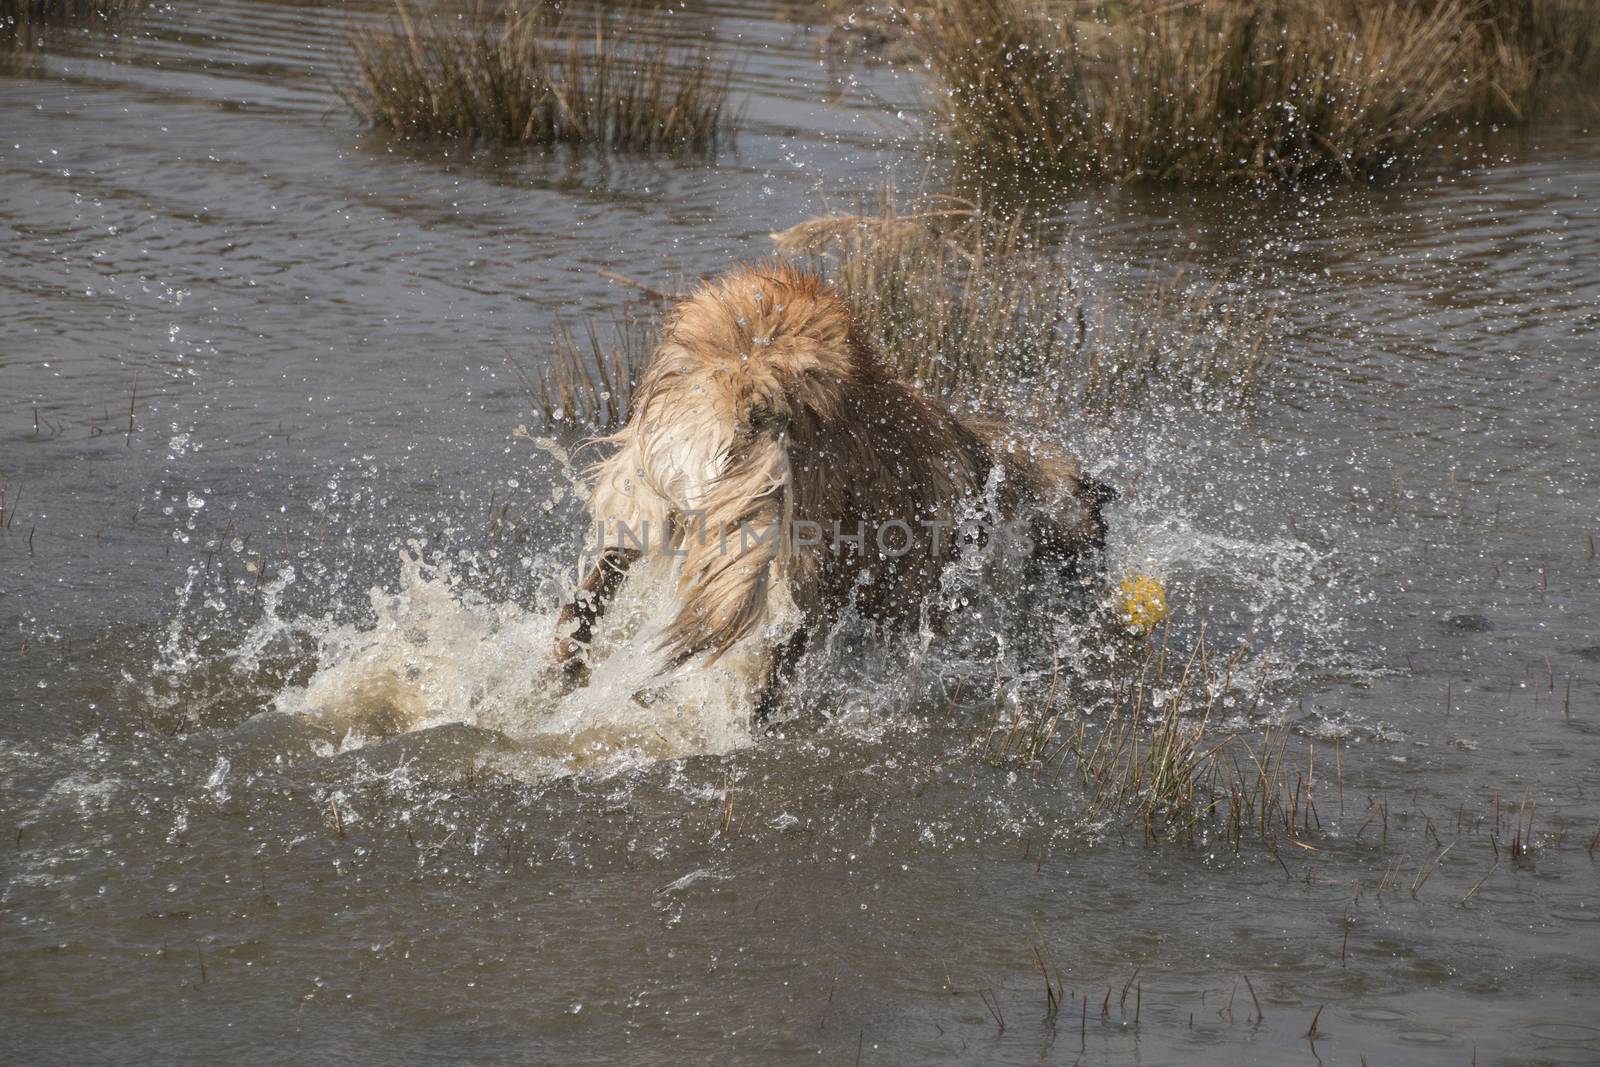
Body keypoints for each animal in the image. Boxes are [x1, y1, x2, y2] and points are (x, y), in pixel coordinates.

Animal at [553, 262, 1113, 726]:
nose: (1100, 580)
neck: (994, 474)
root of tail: (754, 374)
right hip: (798, 563)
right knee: (770, 664)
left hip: (643, 494)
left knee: (589, 597)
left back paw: (563, 677)